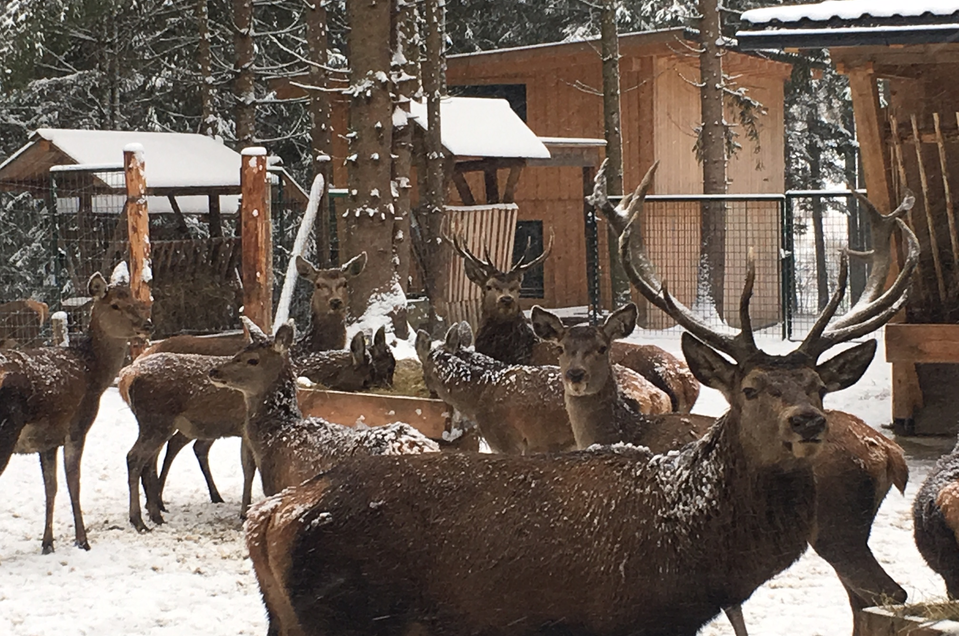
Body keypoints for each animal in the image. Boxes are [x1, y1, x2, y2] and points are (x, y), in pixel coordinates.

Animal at [0, 274, 151, 552]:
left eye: (135, 301)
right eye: (114, 305)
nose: (147, 325)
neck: (94, 375)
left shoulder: (48, 440)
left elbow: (51, 487)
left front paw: (47, 543)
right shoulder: (77, 427)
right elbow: (74, 482)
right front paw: (82, 540)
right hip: (6, 430)